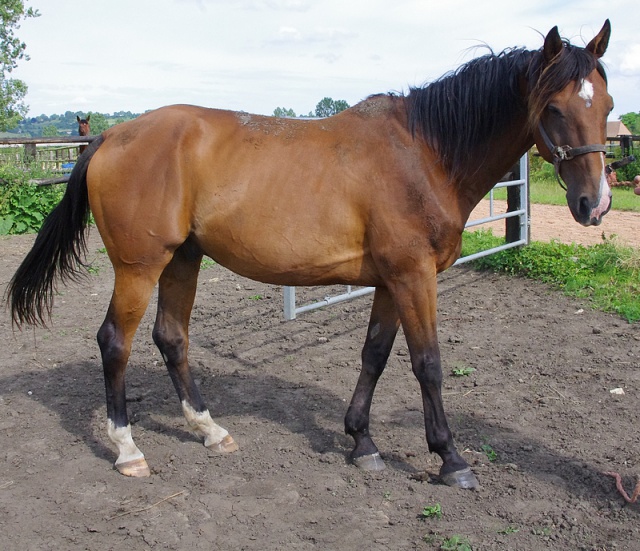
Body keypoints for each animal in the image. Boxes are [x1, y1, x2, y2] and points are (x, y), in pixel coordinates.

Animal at [6, 21, 616, 488]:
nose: (596, 203)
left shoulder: (391, 280)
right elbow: (428, 364)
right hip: (140, 266)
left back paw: (210, 430)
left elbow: (374, 355)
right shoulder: (414, 277)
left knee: (171, 338)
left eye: (607, 103)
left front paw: (361, 442)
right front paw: (450, 458)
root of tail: (110, 137)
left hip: (183, 259)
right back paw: (128, 449)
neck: (424, 153)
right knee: (116, 341)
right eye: (554, 107)